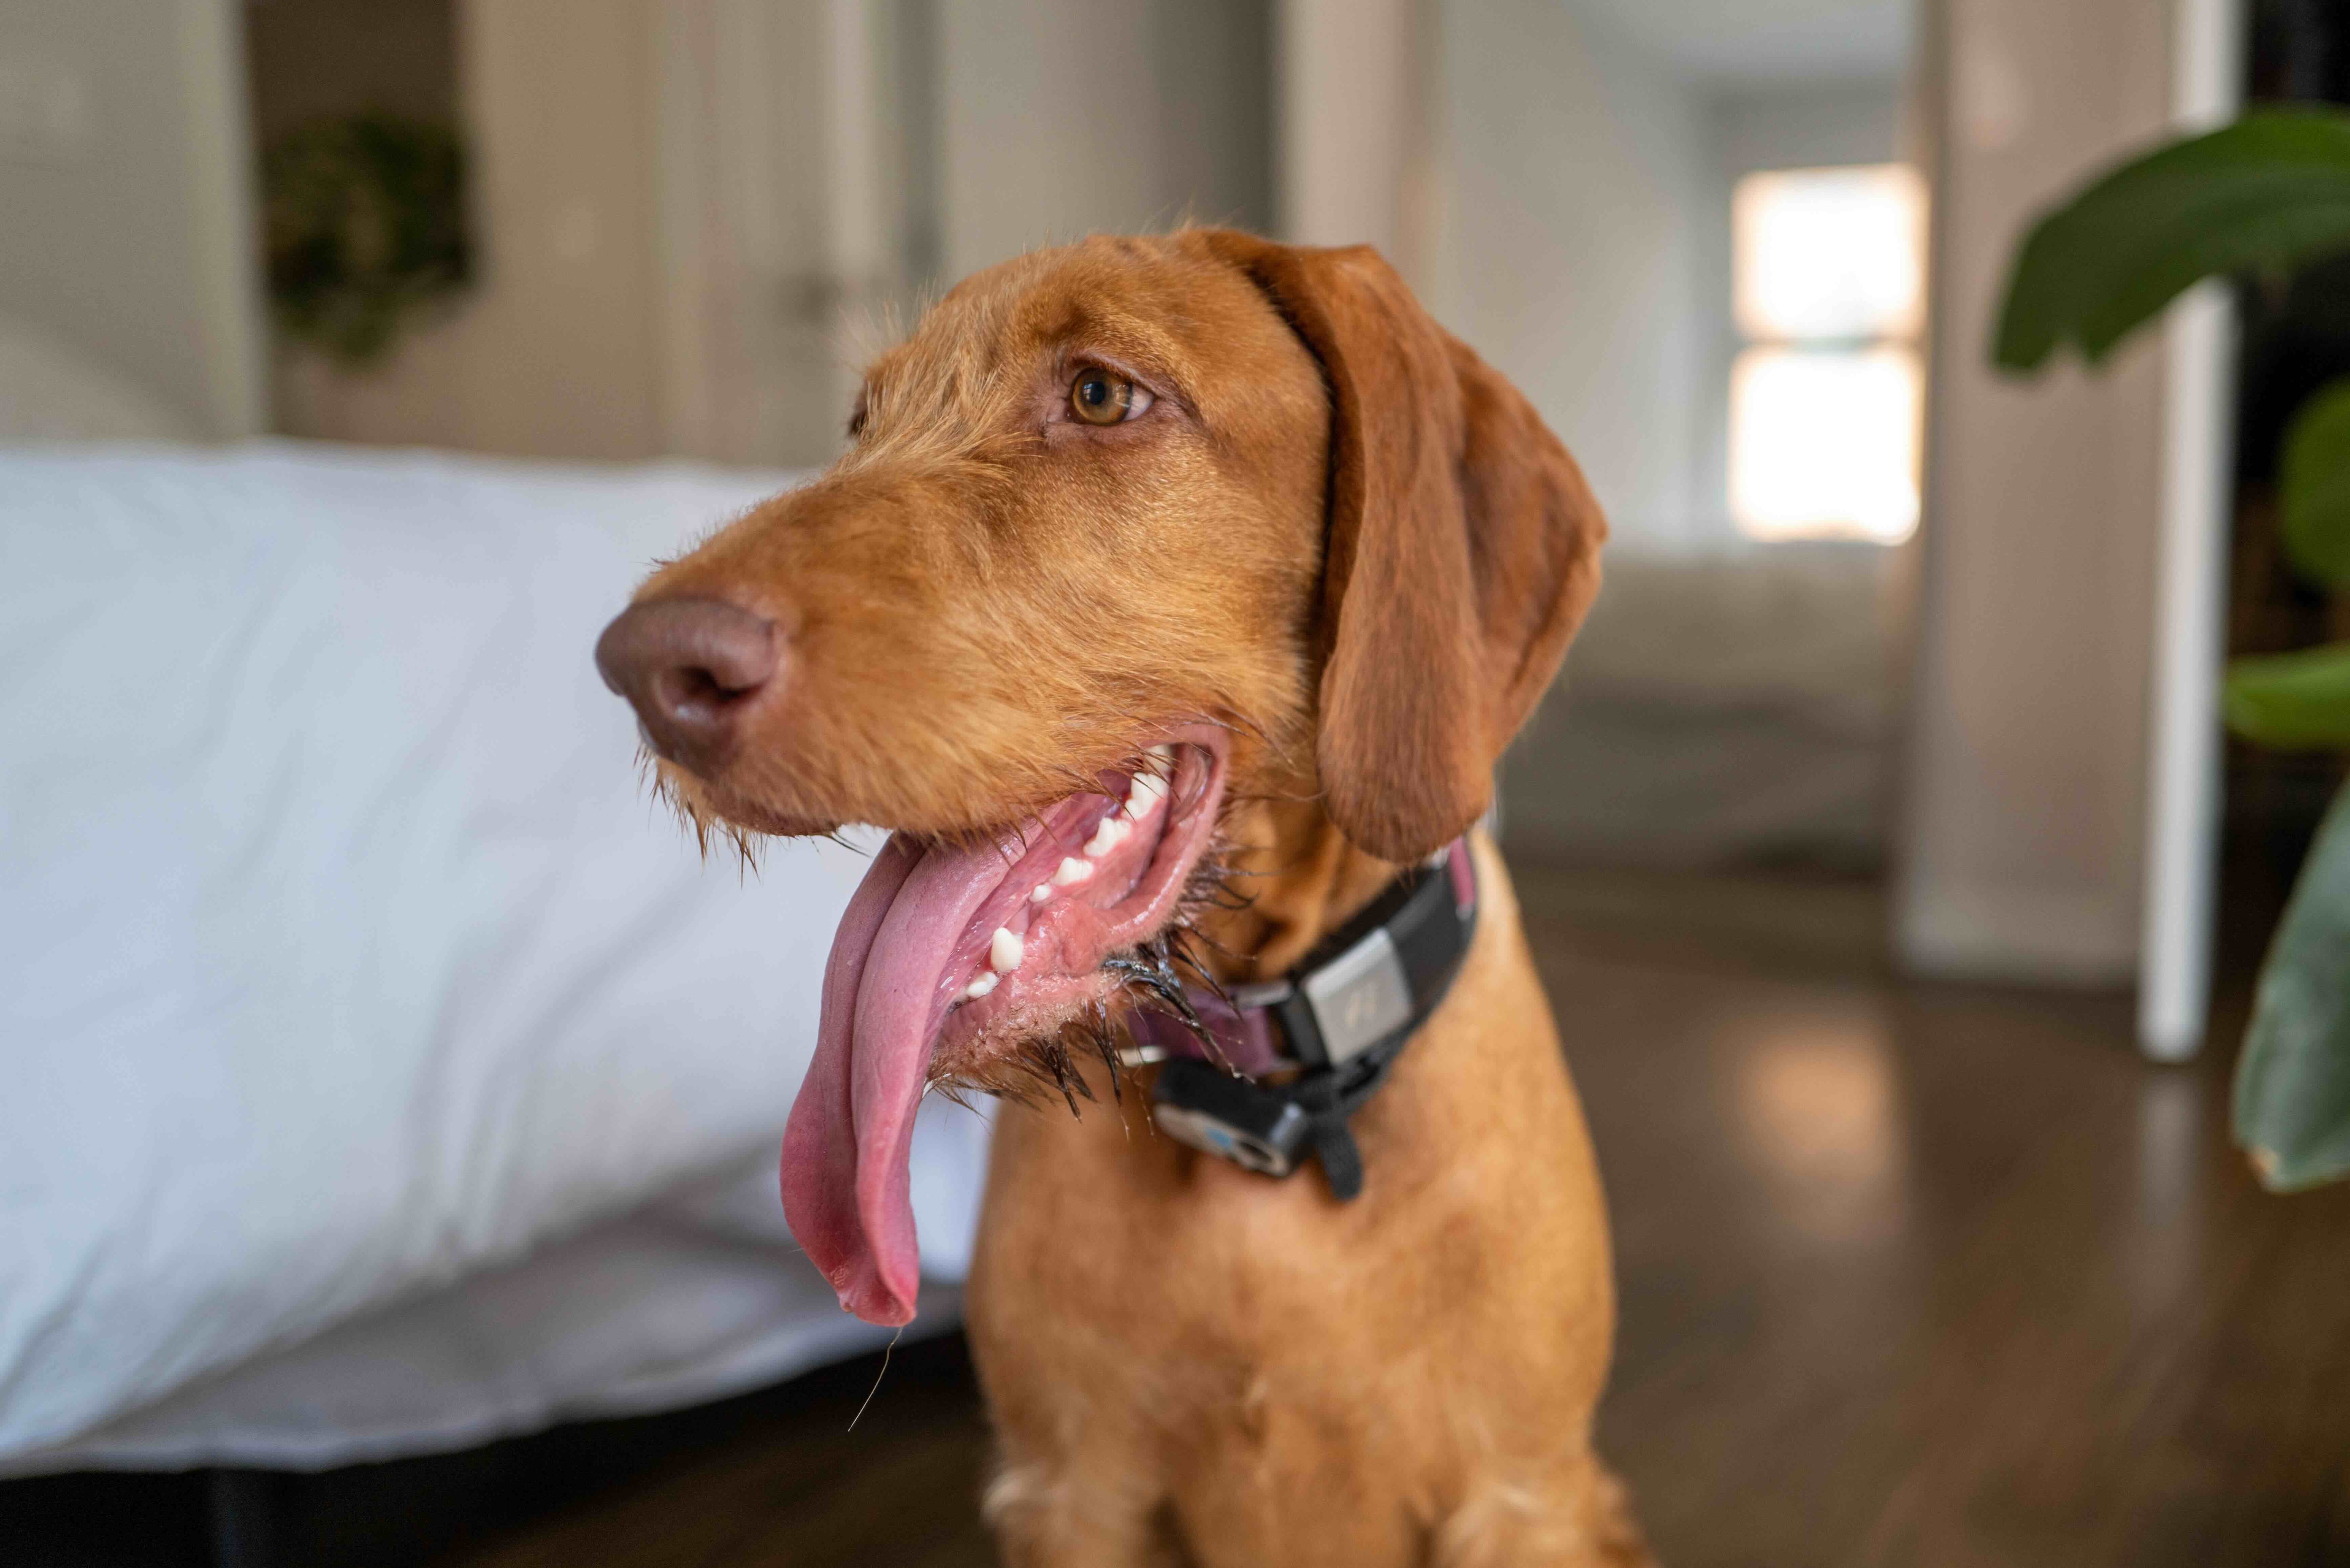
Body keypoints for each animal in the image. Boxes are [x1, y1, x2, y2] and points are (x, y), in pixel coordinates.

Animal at [597, 226, 1645, 1560]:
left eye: (1102, 395)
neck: (1260, 1110)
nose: (645, 669)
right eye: (861, 420)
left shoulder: (1521, 1498)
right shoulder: (1071, 1493)